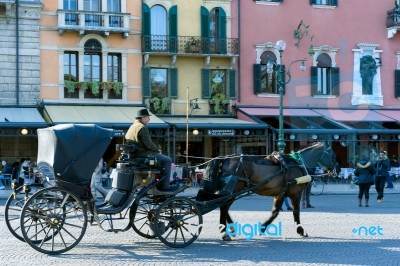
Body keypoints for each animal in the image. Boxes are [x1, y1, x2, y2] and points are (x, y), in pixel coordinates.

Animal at [203, 142, 338, 240]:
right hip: (234, 189)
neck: (297, 163)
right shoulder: (295, 193)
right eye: (332, 154)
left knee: (224, 207)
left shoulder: (280, 194)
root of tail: (225, 158)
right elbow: (296, 212)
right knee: (223, 207)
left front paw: (262, 228)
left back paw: (231, 229)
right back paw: (225, 232)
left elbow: (275, 212)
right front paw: (301, 230)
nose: (338, 168)